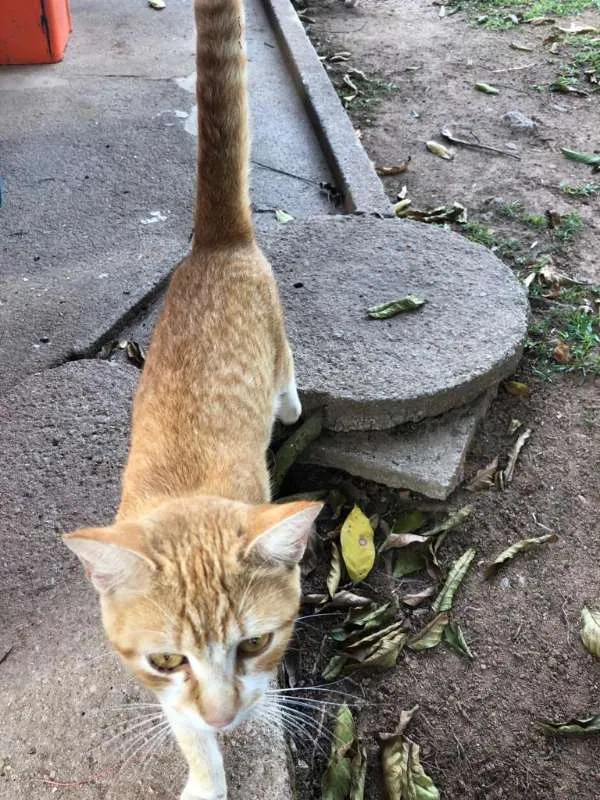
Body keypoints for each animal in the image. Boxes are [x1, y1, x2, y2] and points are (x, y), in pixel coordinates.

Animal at [63, 1, 322, 800]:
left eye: (256, 643)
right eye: (166, 660)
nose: (225, 715)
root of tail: (215, 243)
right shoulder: (165, 695)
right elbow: (188, 736)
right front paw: (207, 769)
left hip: (275, 334)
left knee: (287, 367)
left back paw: (289, 405)